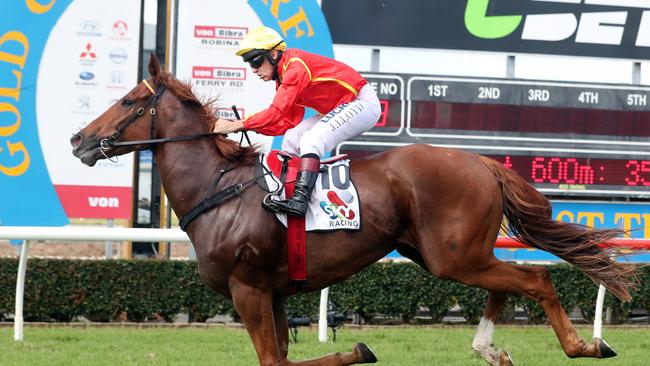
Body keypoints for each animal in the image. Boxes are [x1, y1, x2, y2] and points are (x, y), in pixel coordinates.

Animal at [71, 55, 632, 366]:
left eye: (128, 101)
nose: (79, 139)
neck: (218, 187)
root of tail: (481, 161)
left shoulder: (247, 287)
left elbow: (275, 362)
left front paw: (358, 350)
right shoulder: (272, 291)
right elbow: (282, 357)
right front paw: (356, 351)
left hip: (453, 255)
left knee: (534, 278)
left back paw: (584, 345)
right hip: (452, 254)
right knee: (510, 281)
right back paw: (490, 349)